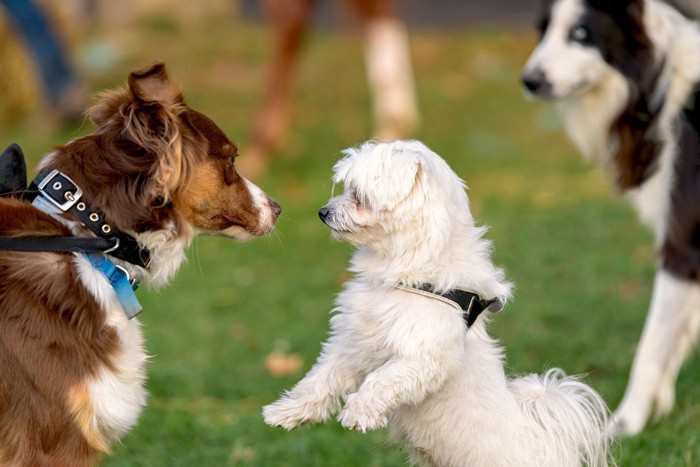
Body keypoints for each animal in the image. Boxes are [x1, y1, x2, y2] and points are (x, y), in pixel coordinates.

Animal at [266, 141, 608, 466]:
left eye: (358, 195)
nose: (323, 211)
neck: (407, 274)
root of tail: (553, 448)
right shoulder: (354, 343)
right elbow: (320, 379)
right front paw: (286, 411)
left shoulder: (424, 358)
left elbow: (382, 380)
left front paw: (359, 411)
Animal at [524, 0, 700, 438]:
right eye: (544, 29)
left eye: (581, 34)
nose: (530, 81)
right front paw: (661, 408)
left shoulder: (683, 246)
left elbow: (651, 346)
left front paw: (625, 423)